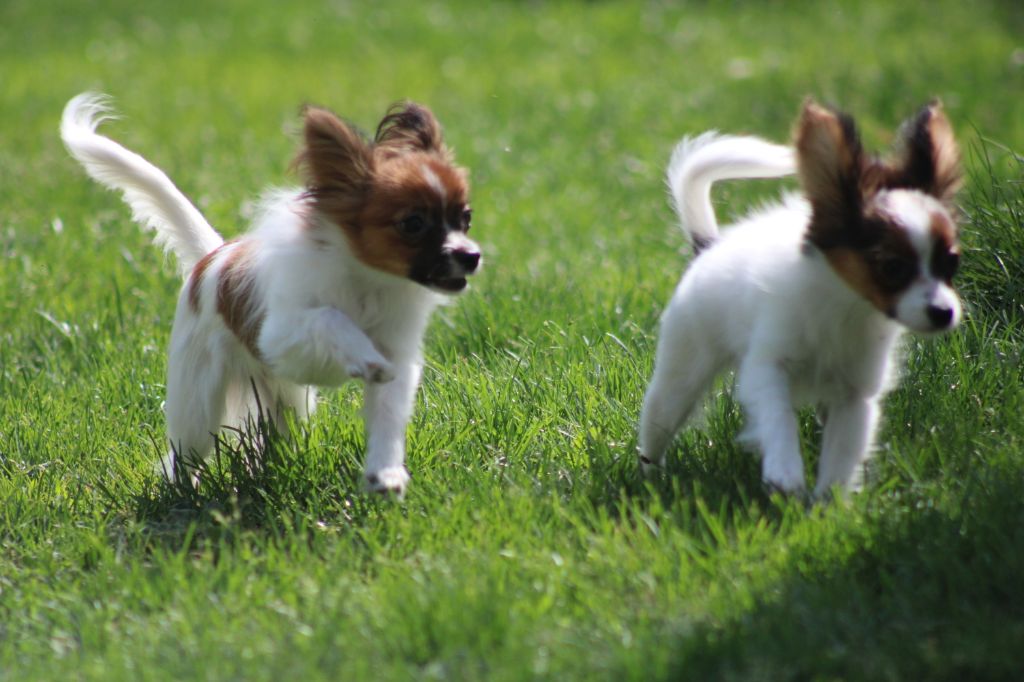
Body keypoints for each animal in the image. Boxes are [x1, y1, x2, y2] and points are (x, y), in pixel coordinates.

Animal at [61, 91, 481, 493]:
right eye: (413, 224)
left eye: (465, 217)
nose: (471, 256)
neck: (368, 282)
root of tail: (211, 257)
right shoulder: (279, 336)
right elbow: (329, 318)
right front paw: (363, 355)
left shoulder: (397, 356)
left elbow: (388, 418)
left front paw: (386, 474)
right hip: (197, 401)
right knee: (186, 452)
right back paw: (183, 491)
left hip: (287, 400)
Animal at [634, 99, 962, 493]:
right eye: (892, 267)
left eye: (952, 262)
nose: (944, 312)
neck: (844, 304)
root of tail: (709, 247)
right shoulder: (767, 367)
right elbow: (779, 418)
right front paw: (785, 471)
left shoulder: (855, 394)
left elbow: (841, 454)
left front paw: (830, 503)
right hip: (680, 374)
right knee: (657, 426)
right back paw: (651, 479)